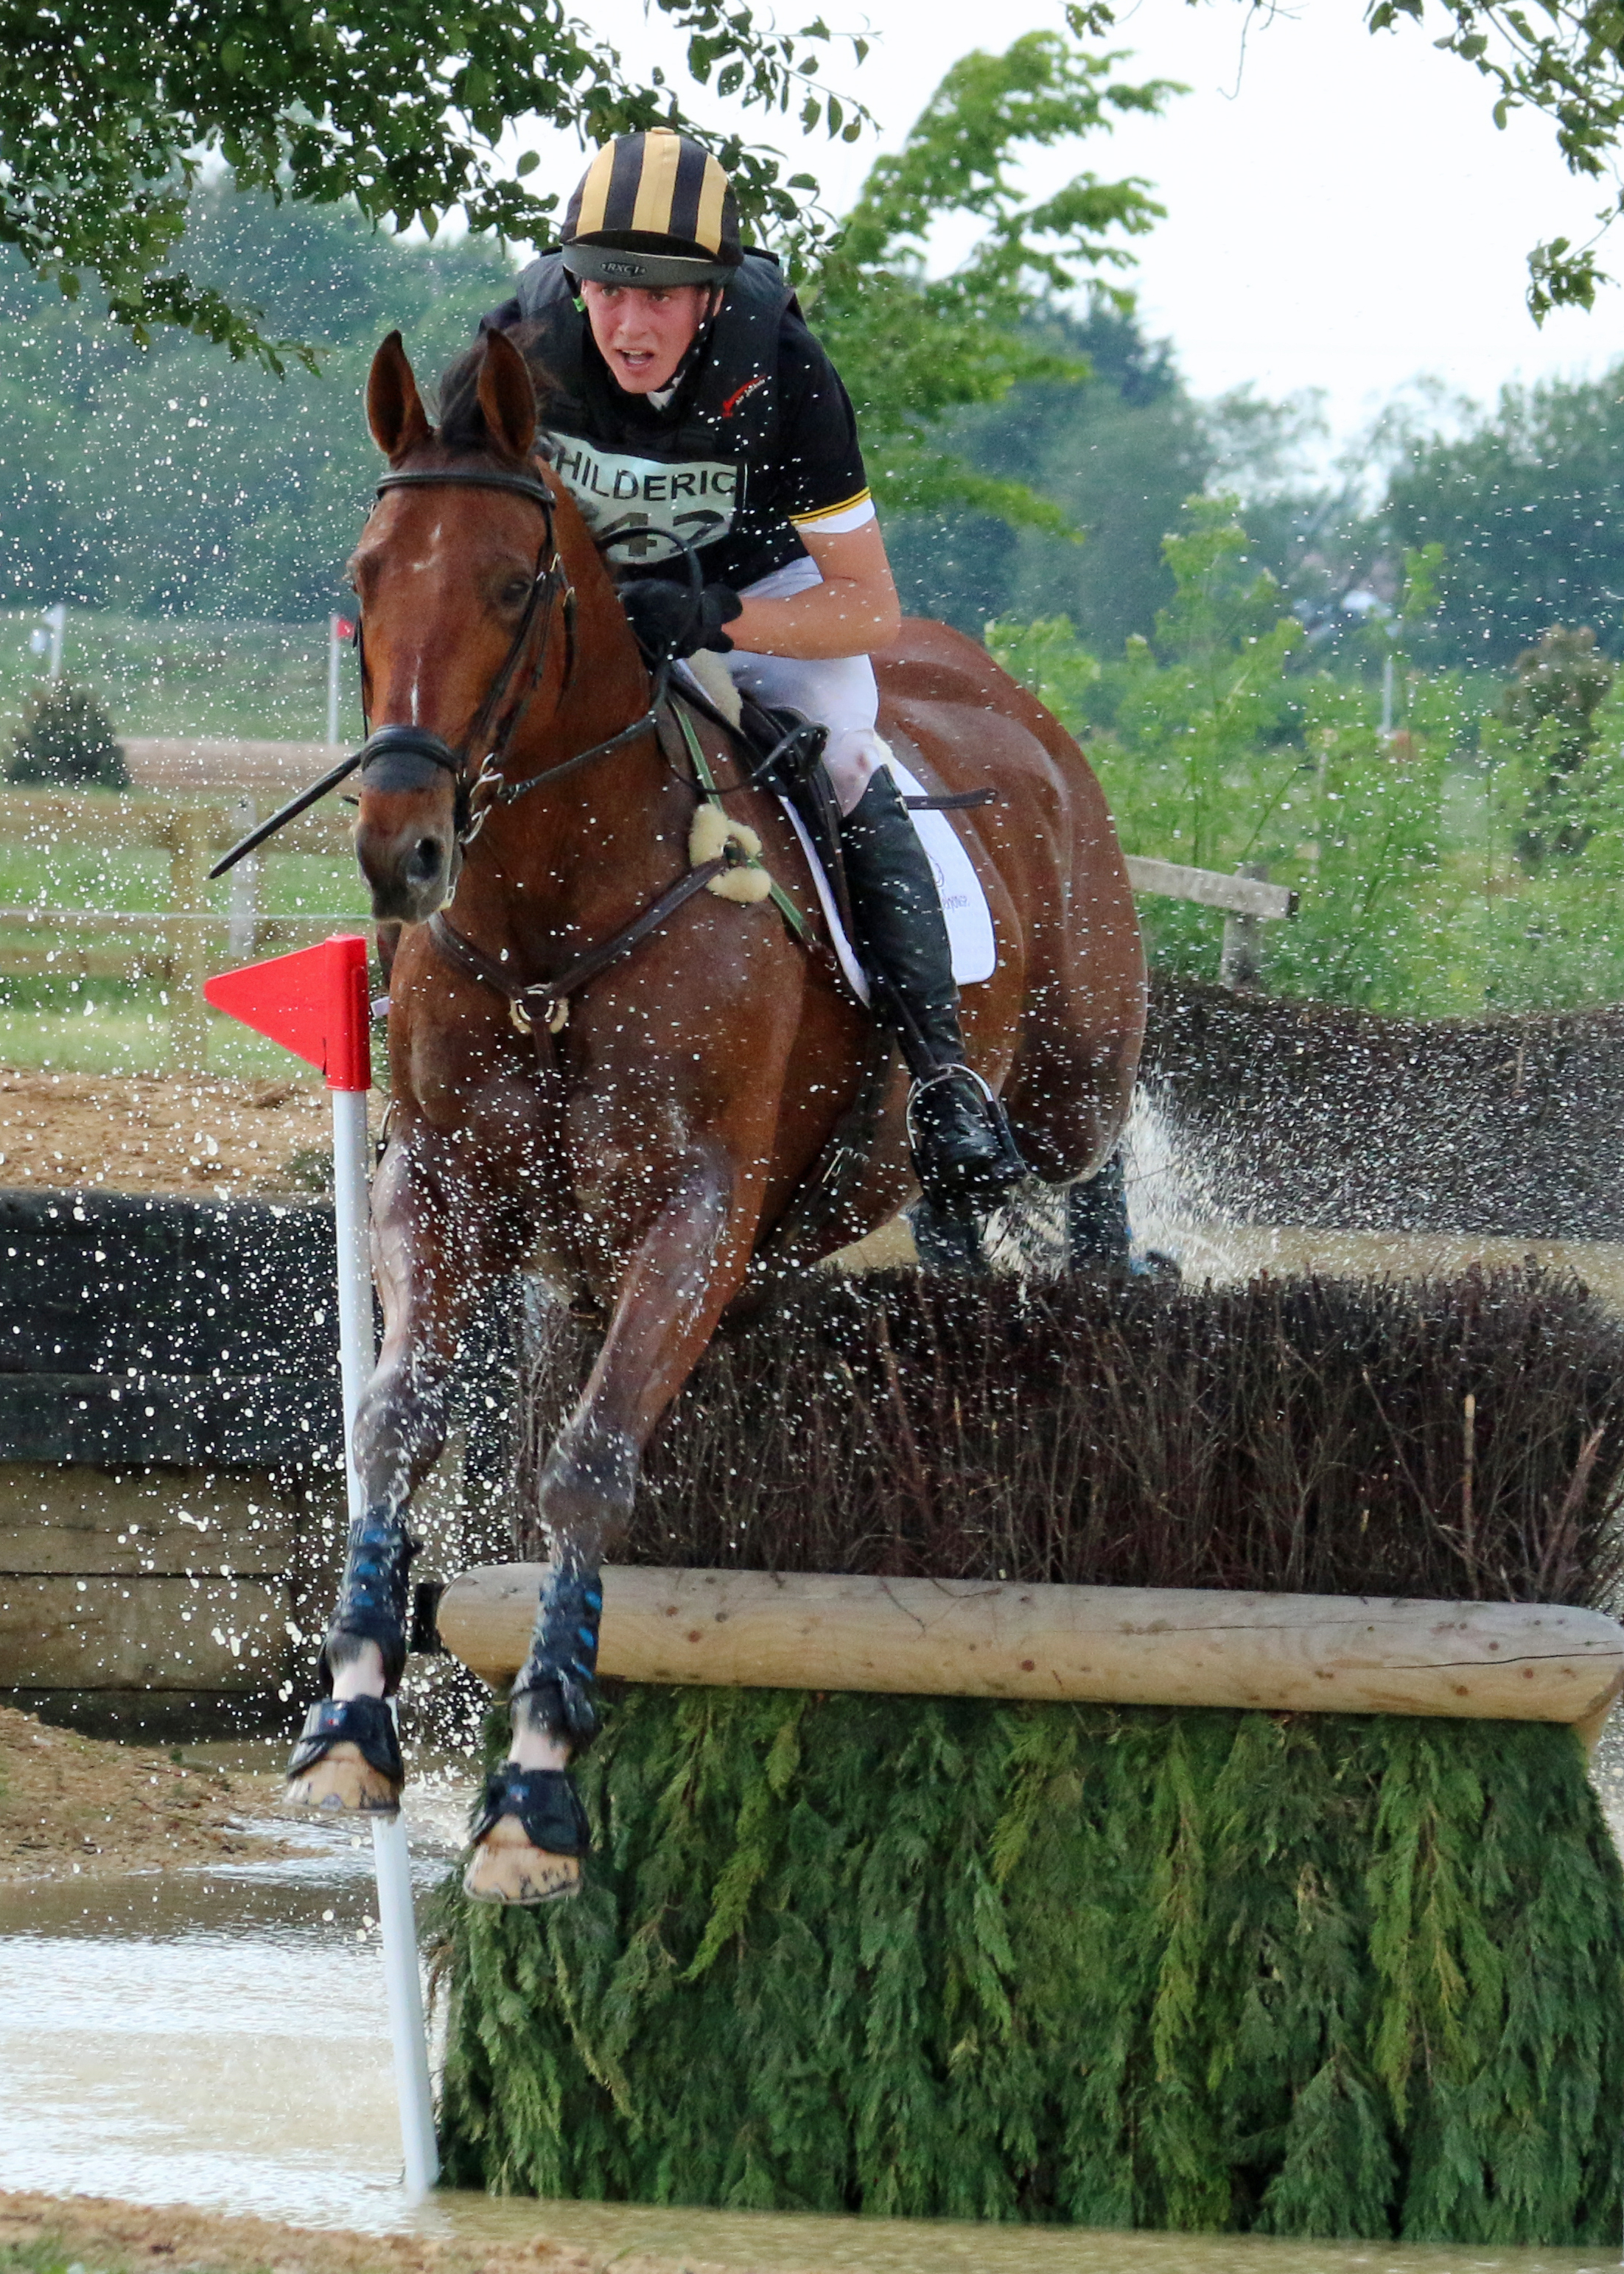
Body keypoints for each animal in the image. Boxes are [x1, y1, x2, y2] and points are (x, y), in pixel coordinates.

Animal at [285, 324, 1146, 1901]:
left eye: (515, 587)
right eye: (366, 577)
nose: (401, 851)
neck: (555, 919)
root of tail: (1019, 708)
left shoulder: (693, 1209)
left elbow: (585, 1465)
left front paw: (536, 1789)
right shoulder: (438, 1188)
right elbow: (395, 1418)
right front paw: (350, 1718)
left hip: (1069, 1074)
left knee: (1084, 1179)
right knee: (955, 1217)